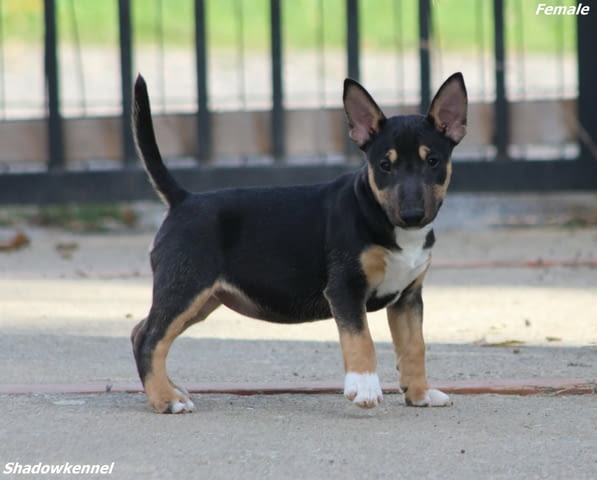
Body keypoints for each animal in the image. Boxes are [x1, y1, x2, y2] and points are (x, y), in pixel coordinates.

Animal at [130, 72, 466, 412]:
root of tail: (182, 199)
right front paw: (365, 388)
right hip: (186, 286)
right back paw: (166, 399)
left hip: (202, 298)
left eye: (433, 161)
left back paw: (171, 389)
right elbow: (361, 340)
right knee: (150, 338)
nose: (412, 215)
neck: (379, 214)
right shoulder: (345, 289)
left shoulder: (408, 298)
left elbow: (414, 346)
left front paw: (420, 394)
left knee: (141, 331)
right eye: (385, 165)